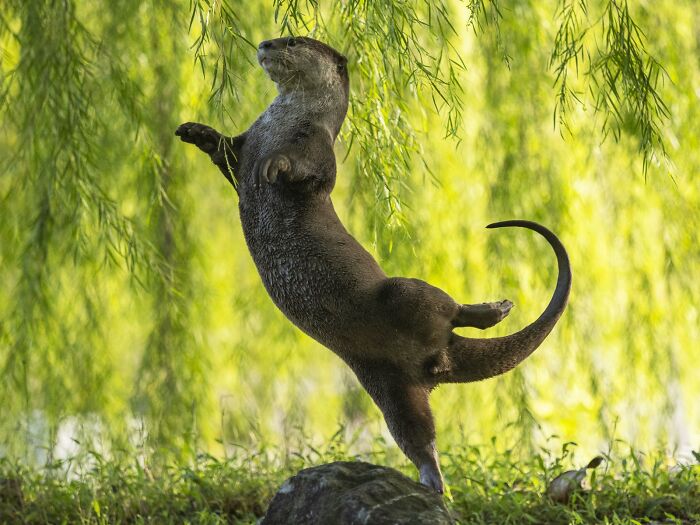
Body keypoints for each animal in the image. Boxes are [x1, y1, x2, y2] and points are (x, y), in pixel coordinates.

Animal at [175, 36, 571, 493]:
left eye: (292, 40)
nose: (265, 43)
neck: (282, 123)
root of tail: (440, 355)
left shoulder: (317, 150)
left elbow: (304, 172)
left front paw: (274, 165)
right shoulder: (247, 142)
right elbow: (225, 152)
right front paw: (196, 131)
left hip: (402, 294)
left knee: (447, 307)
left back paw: (495, 309)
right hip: (388, 384)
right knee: (417, 434)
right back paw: (432, 482)